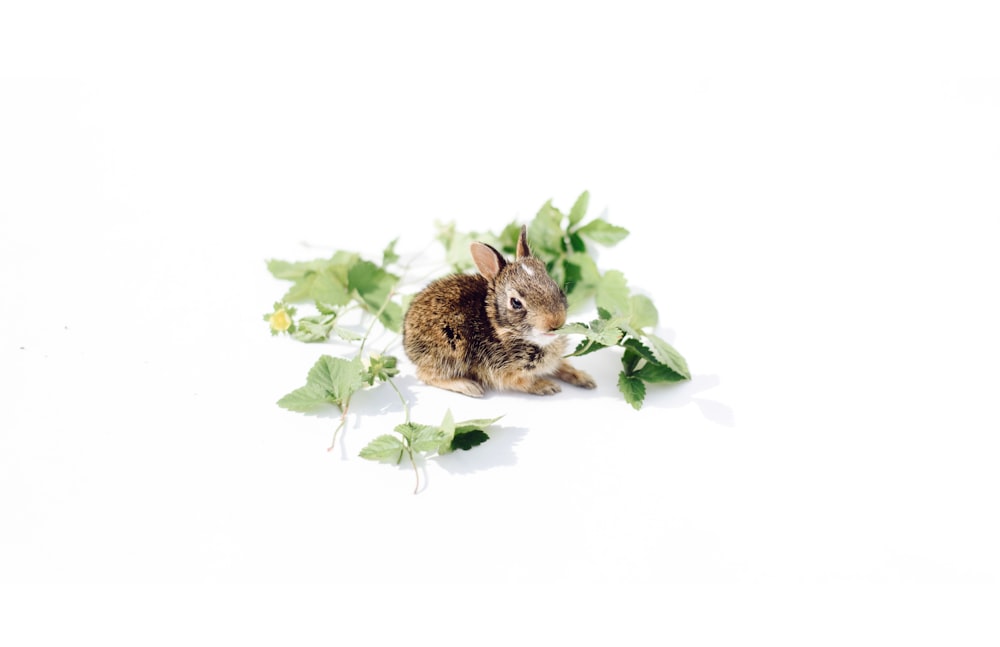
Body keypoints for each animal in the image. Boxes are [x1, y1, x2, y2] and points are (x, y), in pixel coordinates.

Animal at [402, 225, 596, 398]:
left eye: (557, 287)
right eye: (516, 303)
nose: (555, 322)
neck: (502, 329)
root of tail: (407, 337)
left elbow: (562, 365)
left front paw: (585, 378)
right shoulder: (502, 373)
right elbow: (525, 382)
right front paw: (548, 386)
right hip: (450, 349)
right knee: (425, 375)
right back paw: (468, 386)